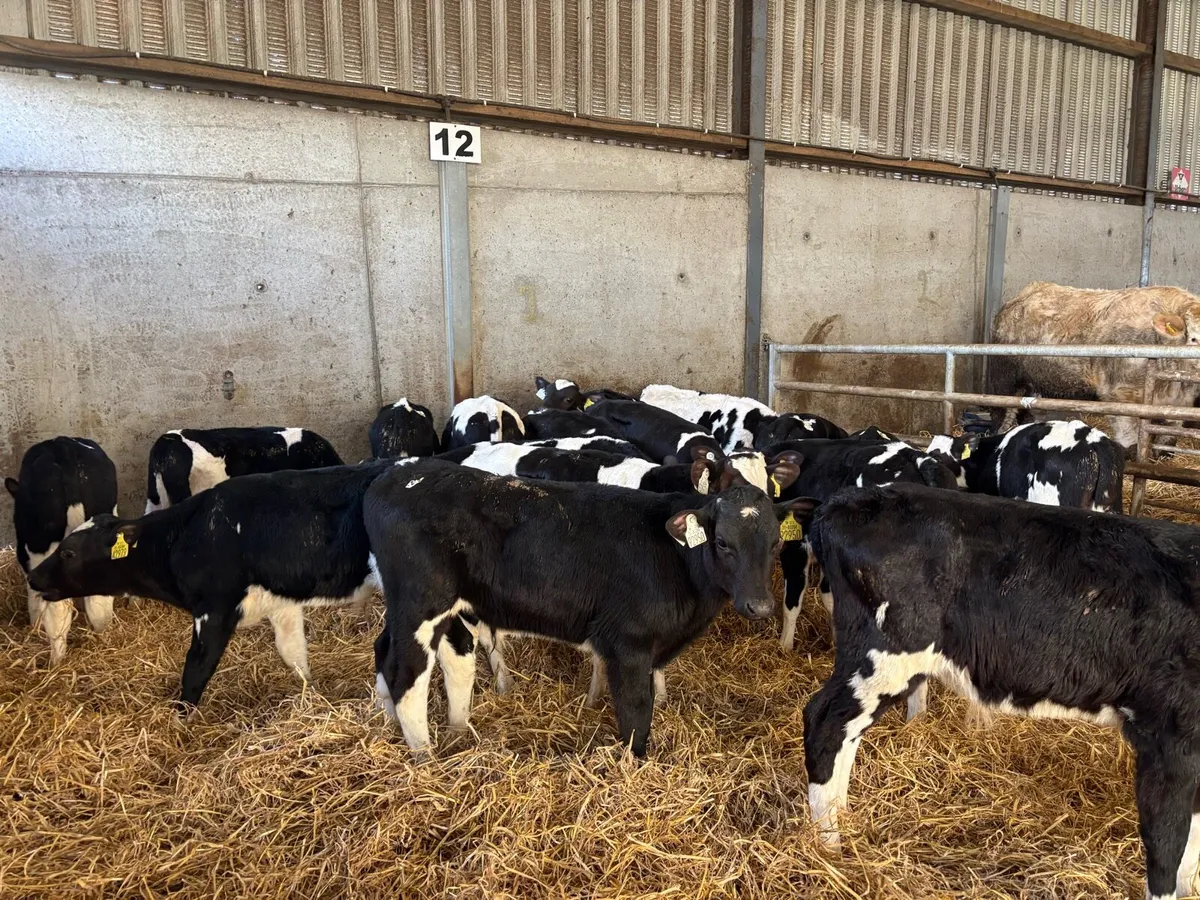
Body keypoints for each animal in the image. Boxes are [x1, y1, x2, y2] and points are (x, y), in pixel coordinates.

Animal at [5, 437, 119, 664]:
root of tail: (62, 445)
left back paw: (56, 661)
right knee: (99, 603)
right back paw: (103, 639)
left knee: (57, 609)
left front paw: (34, 628)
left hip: (42, 548)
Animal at [28, 462, 393, 708]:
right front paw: (311, 694)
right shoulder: (281, 603)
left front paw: (180, 721)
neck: (188, 533)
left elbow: (196, 668)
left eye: (68, 552)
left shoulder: (214, 608)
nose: (33, 577)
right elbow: (293, 654)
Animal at [364, 459, 813, 757]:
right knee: (406, 673)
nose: (759, 606)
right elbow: (636, 714)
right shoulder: (629, 644)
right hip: (421, 602)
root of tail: (397, 475)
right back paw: (424, 756)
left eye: (775, 541)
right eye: (722, 542)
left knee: (404, 652)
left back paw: (441, 728)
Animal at [802, 484, 1200, 900]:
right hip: (884, 657)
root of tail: (843, 502)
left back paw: (843, 820)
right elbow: (1168, 844)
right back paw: (829, 846)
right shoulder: (1169, 737)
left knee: (846, 734)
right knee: (825, 723)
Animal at [989, 281, 1200, 449]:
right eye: (1193, 338)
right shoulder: (1119, 396)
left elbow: (1167, 444)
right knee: (1000, 414)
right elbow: (1131, 445)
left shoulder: (1179, 405)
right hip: (1004, 379)